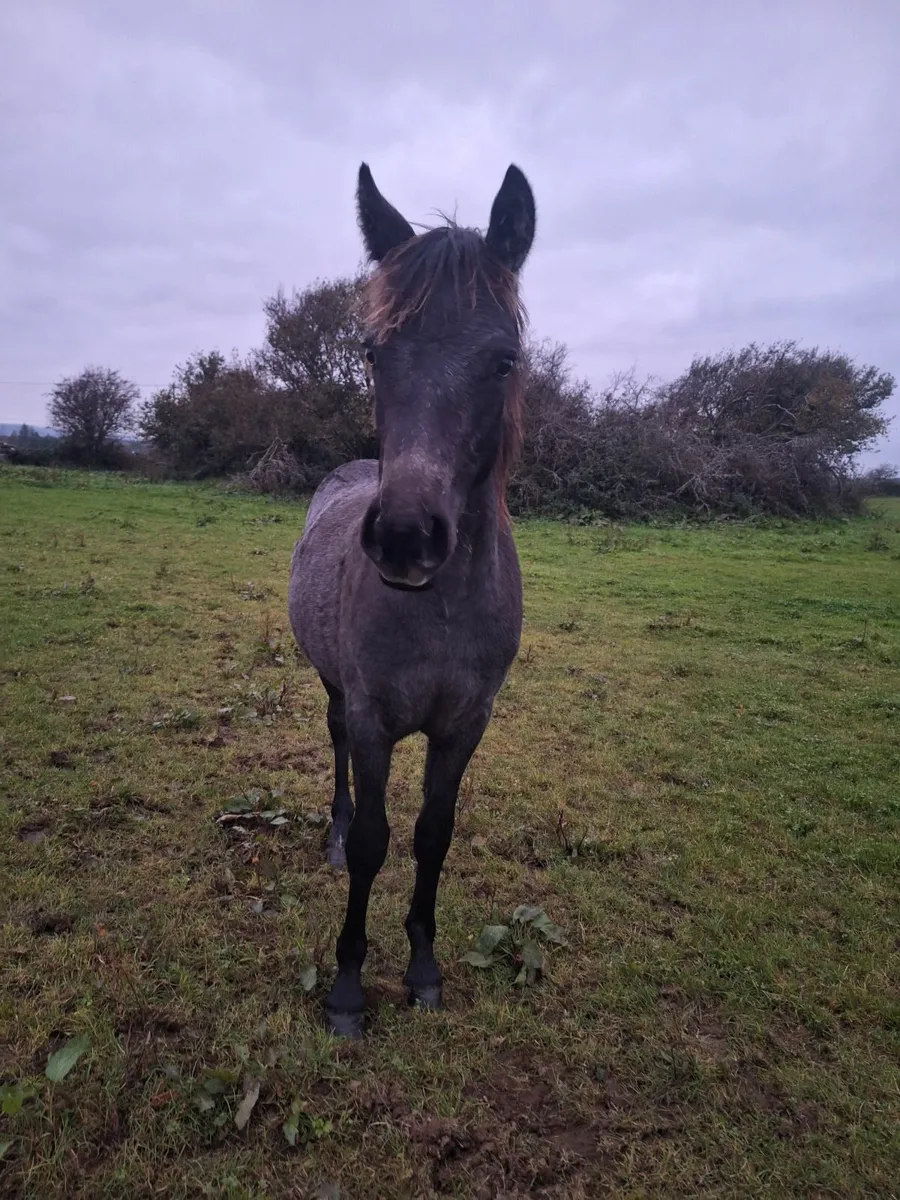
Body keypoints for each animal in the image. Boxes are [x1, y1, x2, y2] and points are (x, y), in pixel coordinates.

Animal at [288, 161, 536, 1037]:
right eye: (373, 350)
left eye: (504, 360)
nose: (404, 536)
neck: (442, 613)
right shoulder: (372, 715)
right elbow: (374, 839)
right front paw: (347, 987)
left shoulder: (465, 723)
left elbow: (433, 835)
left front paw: (422, 968)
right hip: (334, 688)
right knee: (334, 752)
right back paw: (328, 835)